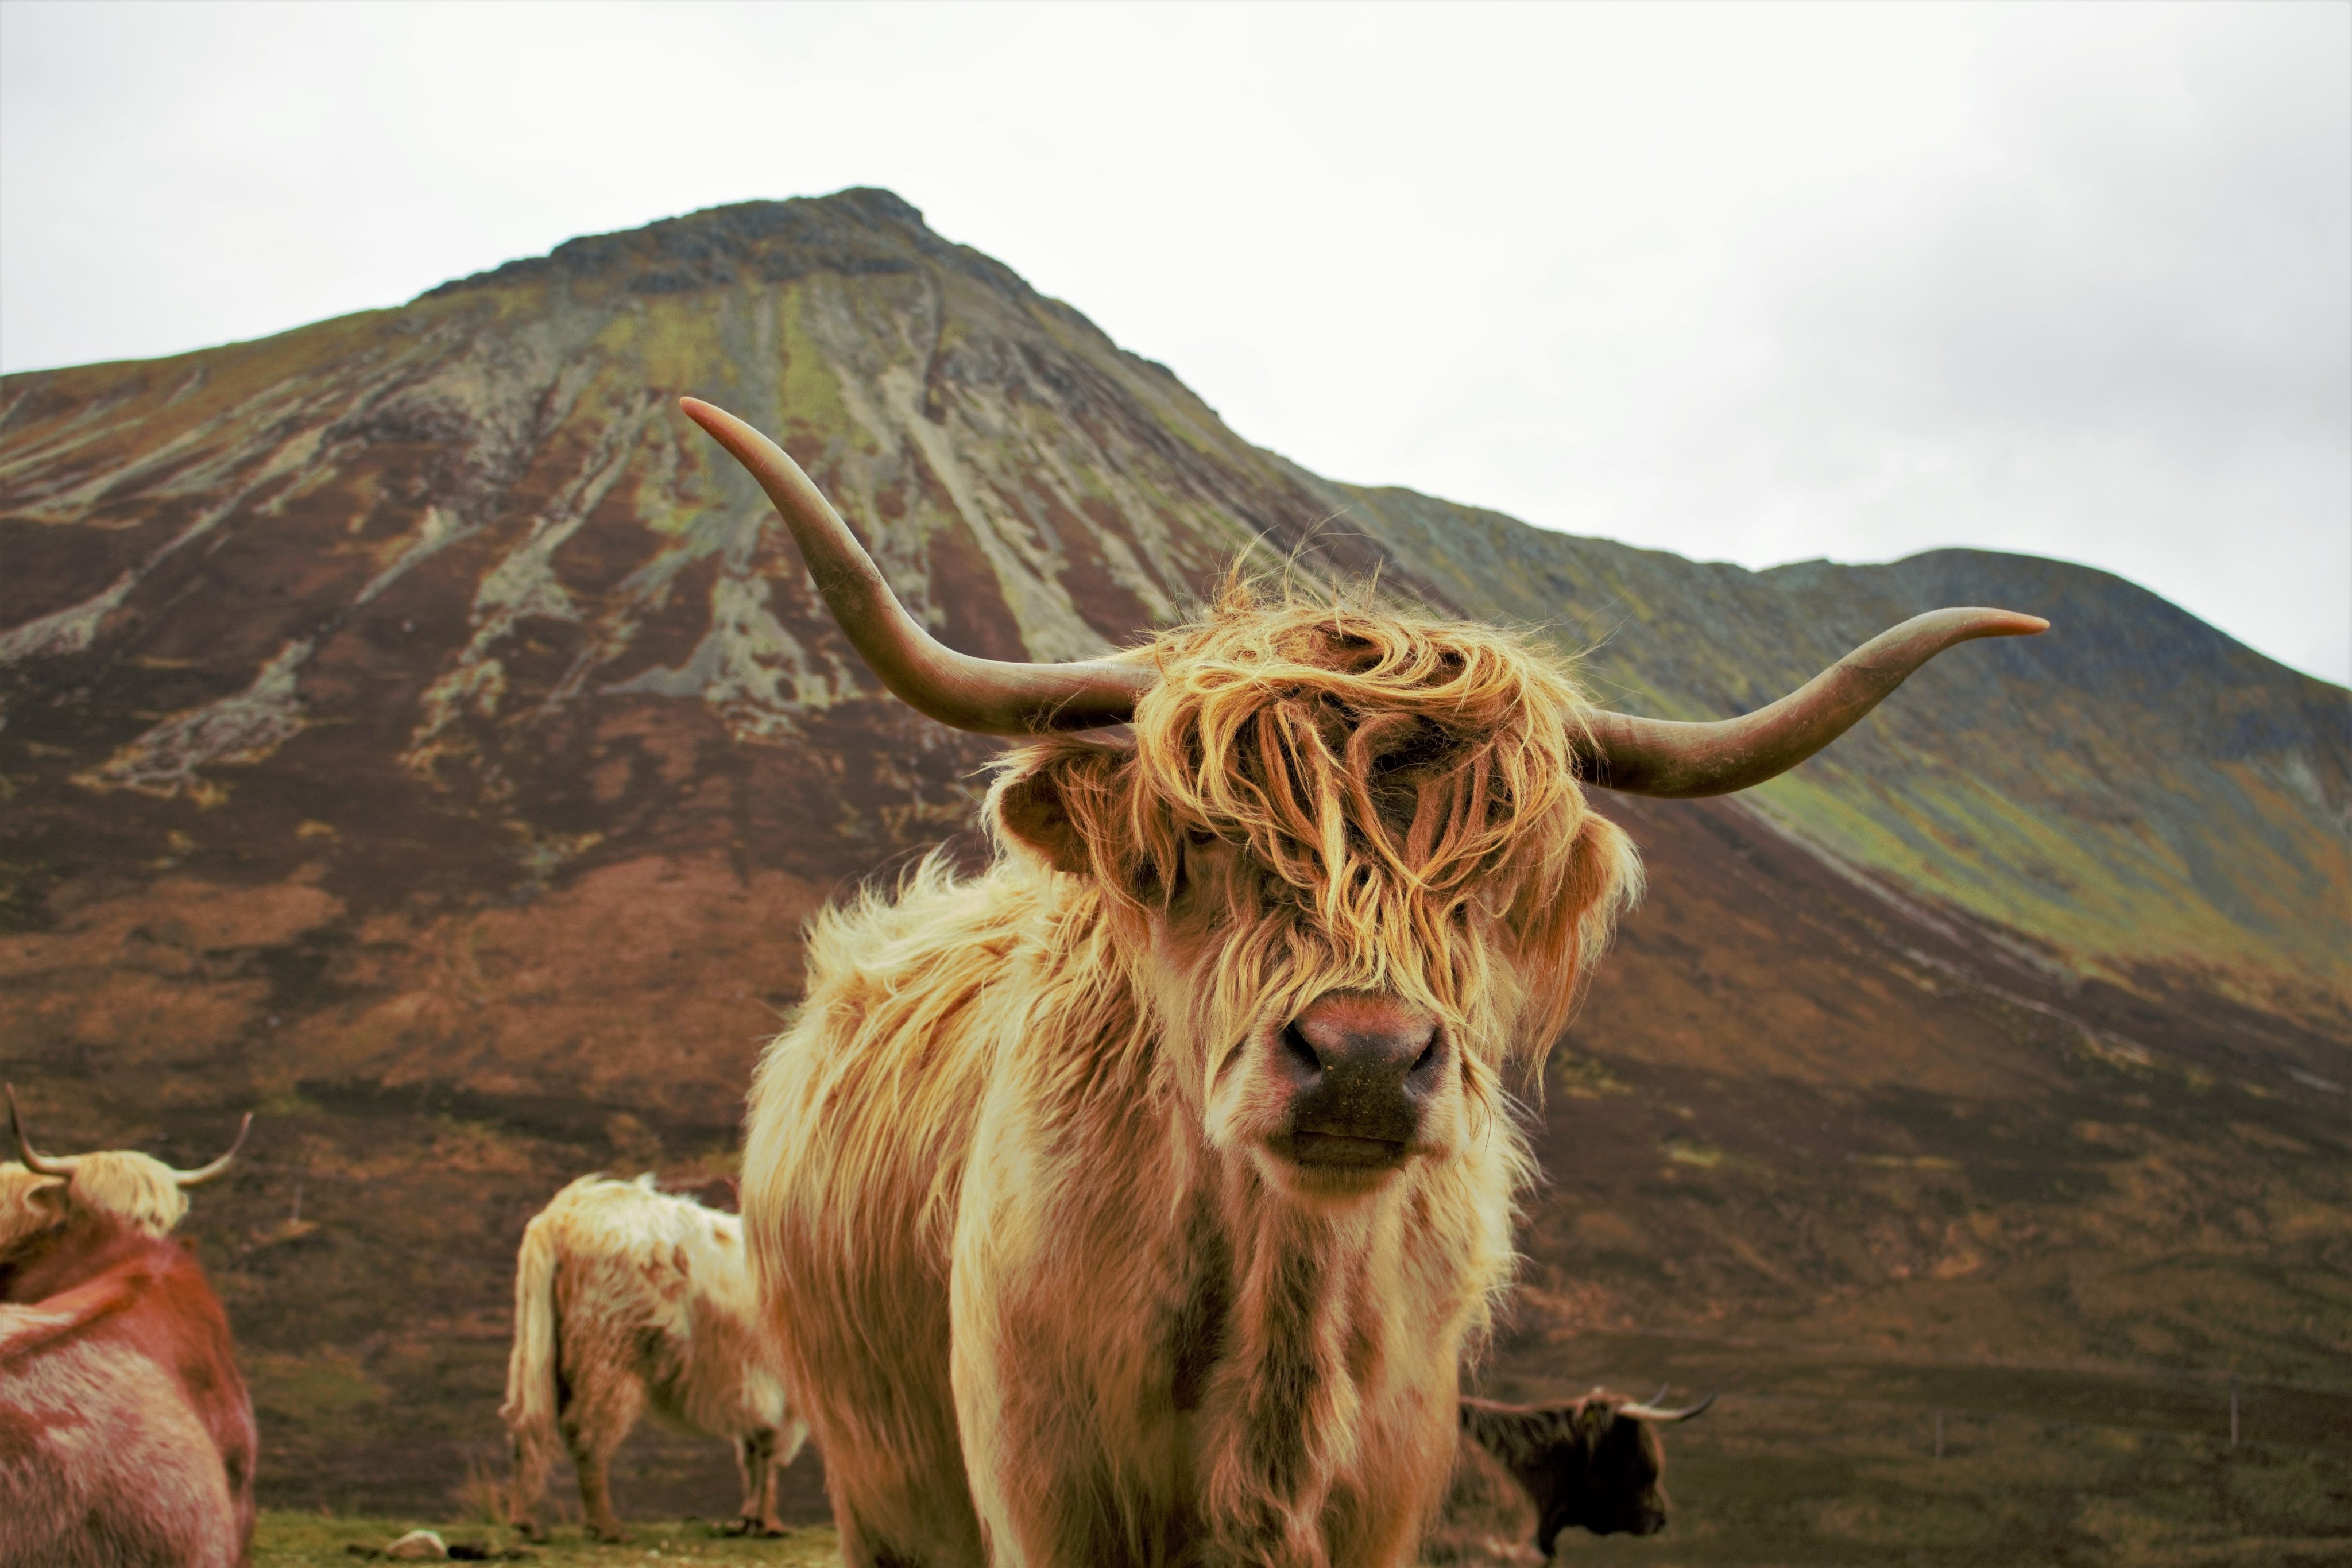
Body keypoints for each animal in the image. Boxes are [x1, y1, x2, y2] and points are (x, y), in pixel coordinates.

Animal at [501, 1173, 807, 1544]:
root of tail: (561, 1216)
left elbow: (754, 1452)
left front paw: (751, 1520)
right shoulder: (778, 1389)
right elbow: (769, 1451)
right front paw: (768, 1522)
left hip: (537, 1347)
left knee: (527, 1421)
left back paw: (526, 1521)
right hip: (605, 1352)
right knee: (587, 1433)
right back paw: (607, 1527)